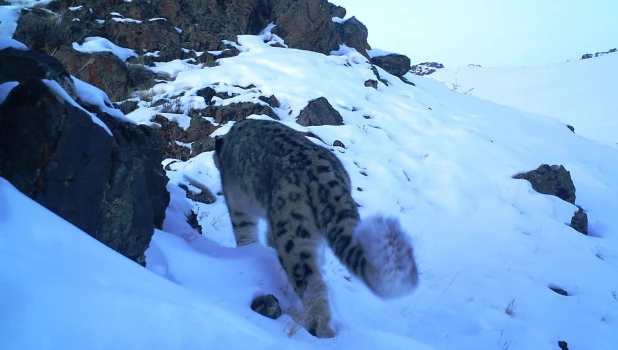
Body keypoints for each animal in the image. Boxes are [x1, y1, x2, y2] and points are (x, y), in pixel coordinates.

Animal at [213, 119, 418, 338]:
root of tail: (324, 175)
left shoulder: (237, 205)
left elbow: (245, 235)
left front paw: (245, 252)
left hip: (292, 233)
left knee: (312, 284)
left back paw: (319, 330)